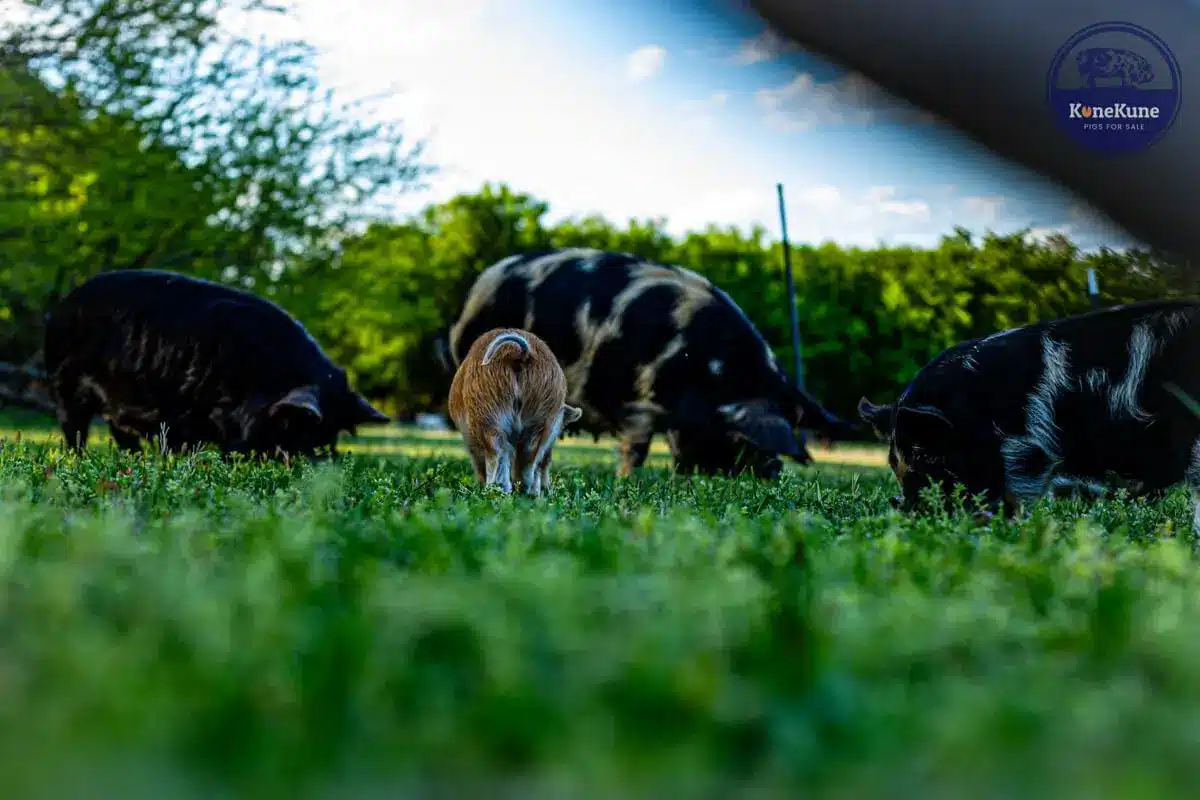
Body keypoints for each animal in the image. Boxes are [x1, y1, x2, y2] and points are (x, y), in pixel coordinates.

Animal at [436, 247, 859, 479]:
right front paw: (627, 480)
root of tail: (467, 302)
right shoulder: (641, 401)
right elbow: (635, 449)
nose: (775, 471)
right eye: (749, 439)